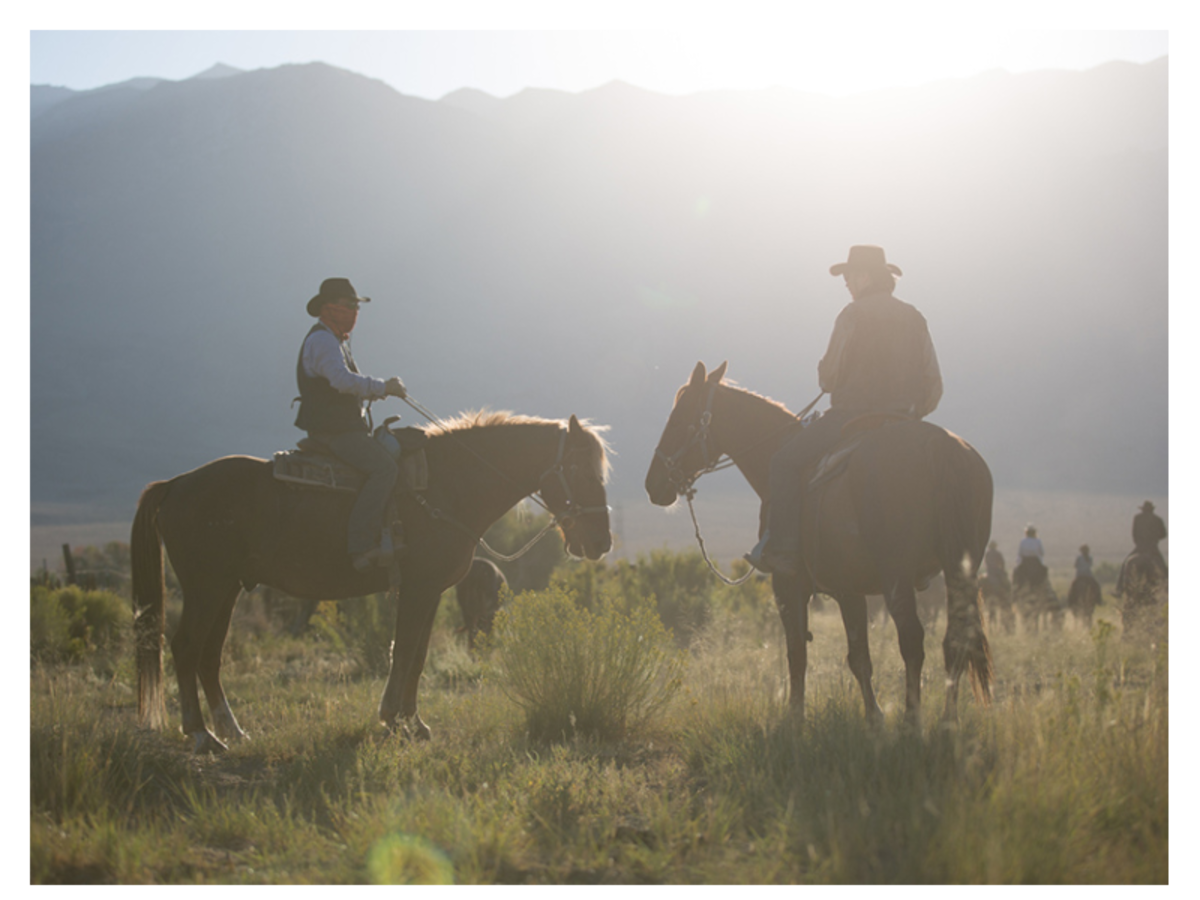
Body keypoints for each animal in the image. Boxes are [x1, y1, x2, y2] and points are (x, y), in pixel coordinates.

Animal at [133, 412, 609, 748]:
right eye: (582, 472)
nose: (601, 541)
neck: (447, 486)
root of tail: (175, 485)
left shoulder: (431, 592)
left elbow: (416, 656)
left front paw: (414, 722)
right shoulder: (417, 588)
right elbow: (405, 654)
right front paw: (394, 720)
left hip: (227, 588)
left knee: (209, 655)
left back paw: (231, 730)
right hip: (206, 587)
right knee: (186, 647)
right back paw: (201, 736)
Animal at [648, 362, 993, 724]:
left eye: (677, 420)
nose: (652, 484)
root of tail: (939, 448)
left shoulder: (788, 583)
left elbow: (797, 651)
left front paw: (794, 717)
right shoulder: (848, 588)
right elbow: (859, 657)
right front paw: (874, 716)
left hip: (896, 574)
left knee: (912, 639)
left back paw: (913, 721)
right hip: (959, 570)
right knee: (957, 638)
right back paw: (947, 720)